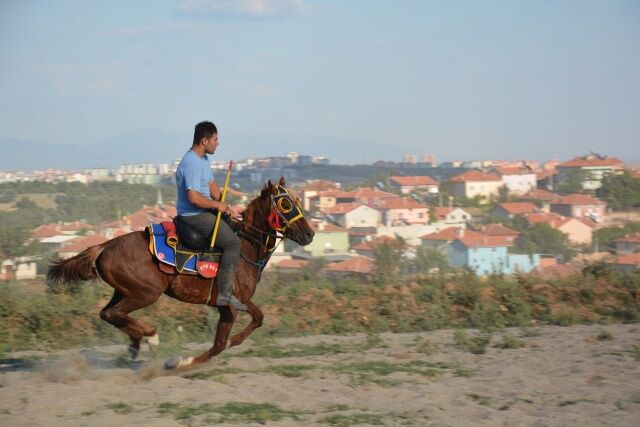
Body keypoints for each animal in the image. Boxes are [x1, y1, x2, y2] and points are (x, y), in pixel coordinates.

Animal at [47, 178, 314, 369]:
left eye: (298, 201)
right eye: (286, 204)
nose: (309, 234)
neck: (244, 248)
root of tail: (105, 245)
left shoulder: (239, 301)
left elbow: (257, 319)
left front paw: (233, 342)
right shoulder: (229, 304)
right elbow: (220, 344)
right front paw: (182, 361)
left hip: (124, 290)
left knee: (108, 313)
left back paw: (135, 346)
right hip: (145, 293)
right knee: (114, 314)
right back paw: (149, 337)